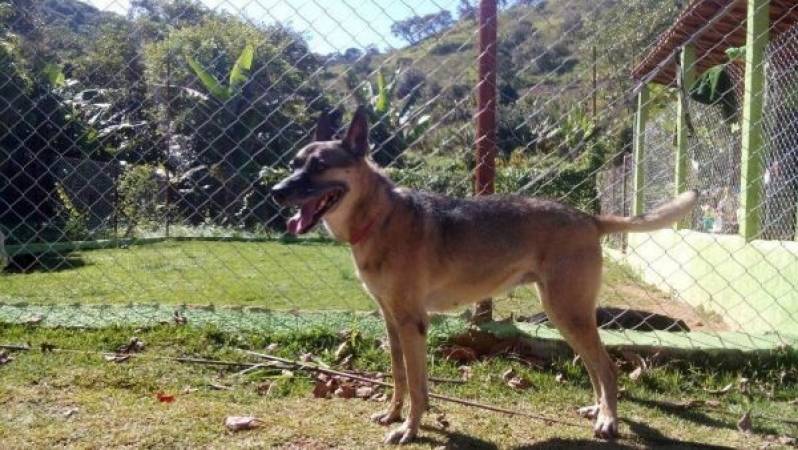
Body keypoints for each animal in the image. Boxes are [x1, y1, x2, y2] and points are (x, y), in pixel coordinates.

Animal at [274, 107, 700, 444]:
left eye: (319, 165)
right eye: (295, 163)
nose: (276, 191)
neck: (379, 218)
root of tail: (587, 217)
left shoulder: (413, 323)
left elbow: (417, 385)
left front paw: (410, 429)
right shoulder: (391, 321)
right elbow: (399, 377)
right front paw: (394, 414)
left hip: (567, 313)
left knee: (607, 368)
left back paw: (609, 420)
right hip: (567, 316)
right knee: (596, 367)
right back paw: (597, 411)